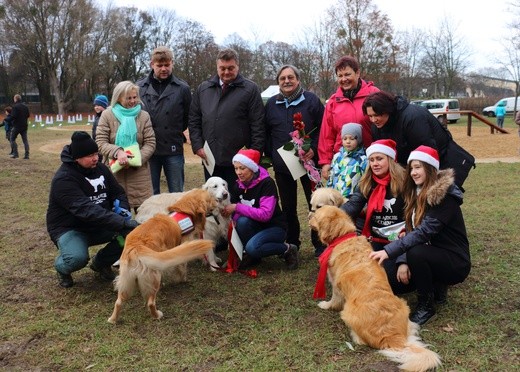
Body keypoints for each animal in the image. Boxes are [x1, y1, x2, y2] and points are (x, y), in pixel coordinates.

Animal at [107, 189, 215, 322]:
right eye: (210, 198)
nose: (217, 203)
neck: (185, 211)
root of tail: (135, 248)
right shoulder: (182, 247)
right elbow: (182, 267)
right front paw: (183, 279)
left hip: (126, 280)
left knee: (118, 302)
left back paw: (112, 319)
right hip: (154, 277)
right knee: (150, 303)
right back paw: (157, 315)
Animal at [310, 206, 440, 372]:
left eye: (316, 214)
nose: (309, 215)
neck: (343, 236)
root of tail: (394, 337)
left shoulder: (335, 284)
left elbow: (334, 300)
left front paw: (325, 305)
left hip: (348, 313)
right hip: (404, 308)